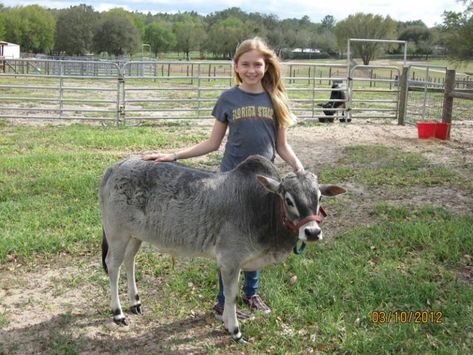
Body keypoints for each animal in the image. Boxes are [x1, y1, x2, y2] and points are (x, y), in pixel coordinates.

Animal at [99, 154, 342, 344]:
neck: (259, 205)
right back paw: (118, 313)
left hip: (134, 236)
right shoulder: (230, 260)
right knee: (113, 266)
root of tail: (116, 167)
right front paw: (234, 330)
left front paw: (227, 323)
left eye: (319, 197)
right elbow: (231, 295)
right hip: (117, 234)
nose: (312, 232)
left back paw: (135, 302)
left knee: (129, 261)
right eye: (288, 200)